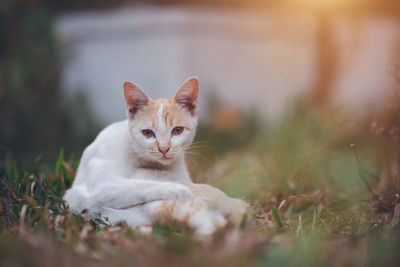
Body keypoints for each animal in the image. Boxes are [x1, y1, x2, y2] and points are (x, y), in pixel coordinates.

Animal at [63, 77, 247, 237]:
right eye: (147, 133)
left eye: (177, 130)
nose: (163, 148)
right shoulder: (101, 185)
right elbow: (140, 185)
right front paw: (177, 189)